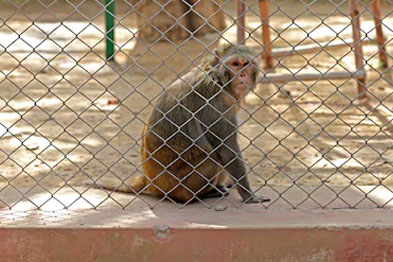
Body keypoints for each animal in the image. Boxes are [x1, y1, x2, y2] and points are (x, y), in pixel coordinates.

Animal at [95, 43, 272, 205]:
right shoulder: (216, 104)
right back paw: (202, 195)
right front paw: (249, 196)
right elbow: (226, 150)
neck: (217, 77)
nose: (242, 73)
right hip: (177, 186)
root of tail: (150, 181)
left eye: (246, 63)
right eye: (235, 64)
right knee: (211, 156)